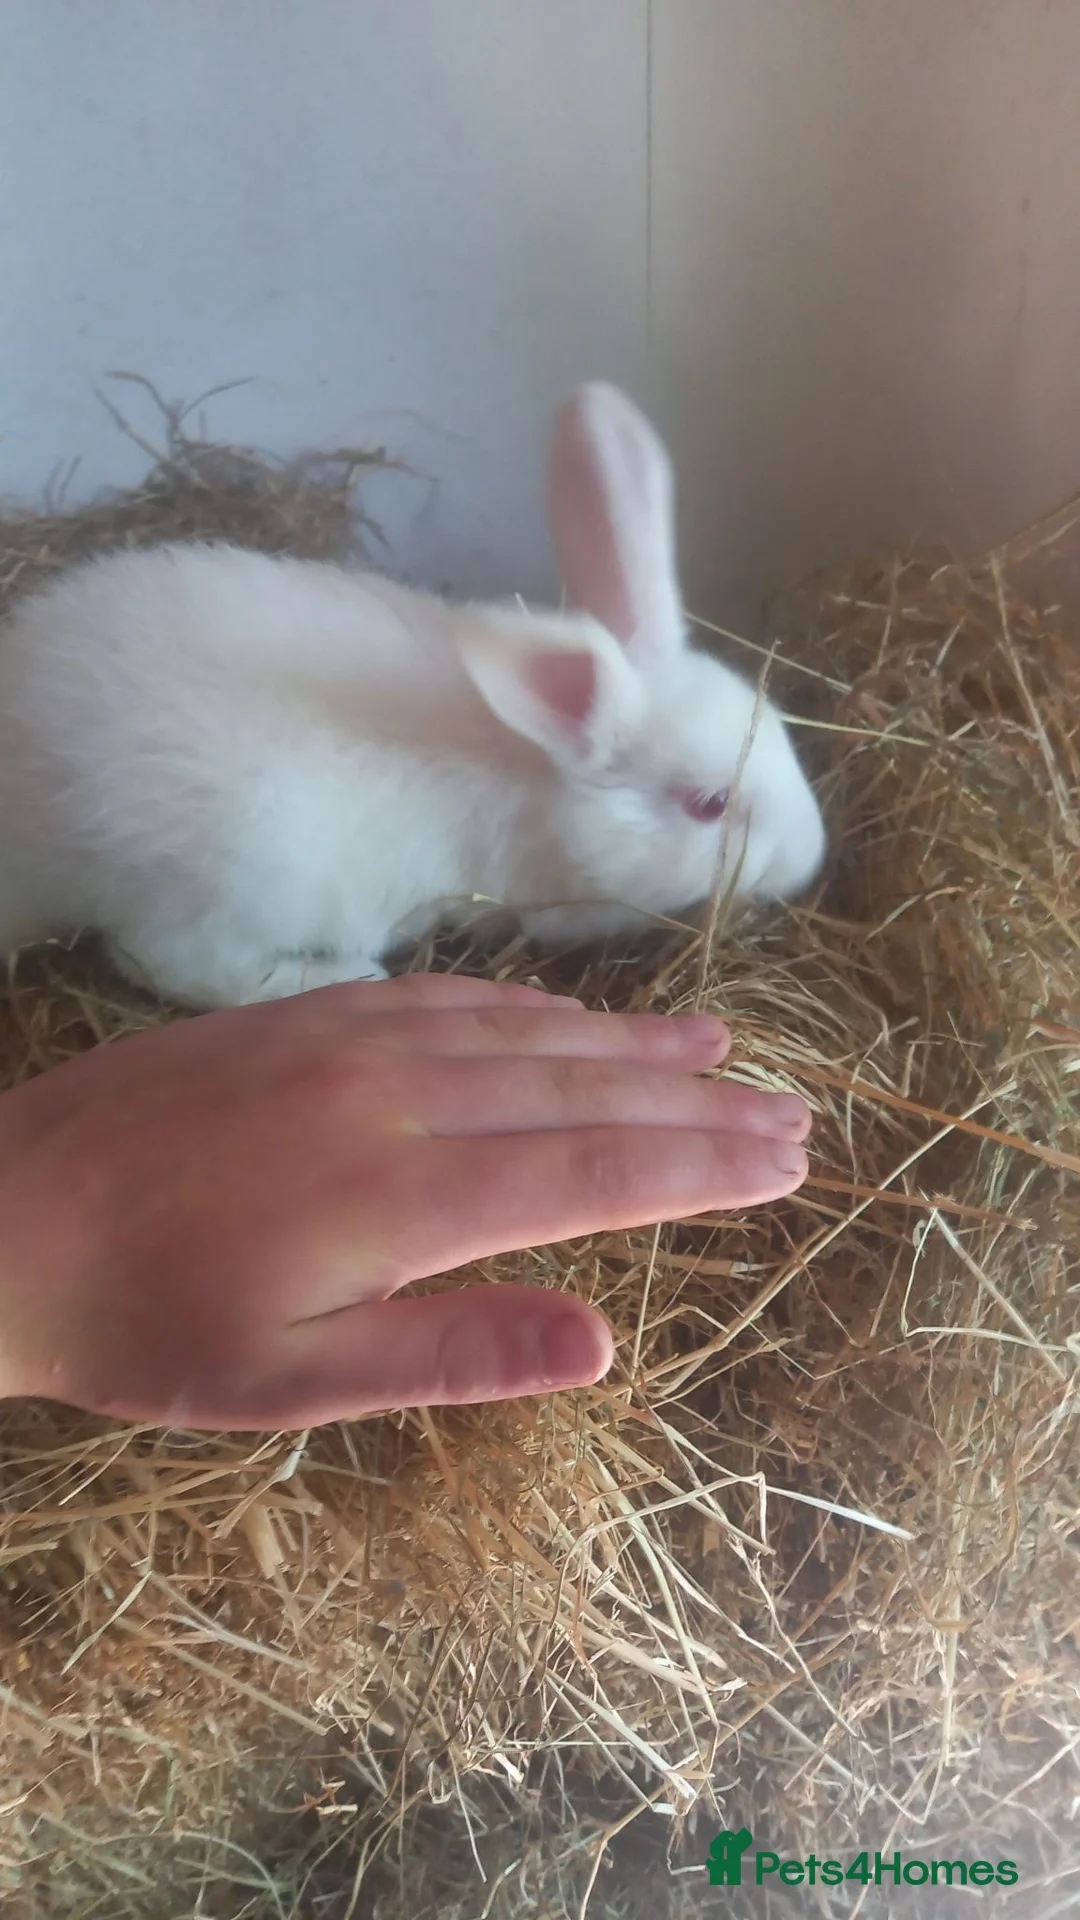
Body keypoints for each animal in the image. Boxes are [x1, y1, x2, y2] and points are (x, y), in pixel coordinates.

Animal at [0, 382, 826, 1010]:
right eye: (709, 806)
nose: (811, 859)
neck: (536, 764)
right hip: (228, 880)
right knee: (170, 963)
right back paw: (340, 978)